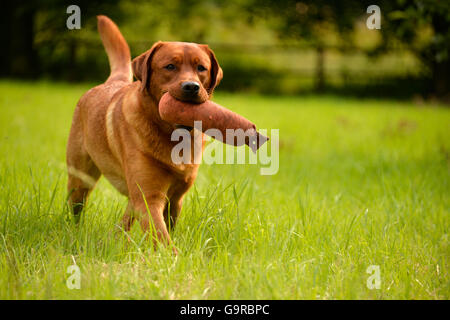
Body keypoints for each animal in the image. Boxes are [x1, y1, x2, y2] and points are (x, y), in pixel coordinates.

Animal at [65, 15, 223, 250]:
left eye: (201, 68)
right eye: (170, 66)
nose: (191, 87)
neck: (174, 138)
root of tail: (113, 81)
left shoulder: (174, 199)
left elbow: (166, 229)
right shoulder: (150, 197)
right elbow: (162, 238)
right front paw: (173, 257)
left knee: (125, 218)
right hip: (80, 178)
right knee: (75, 207)